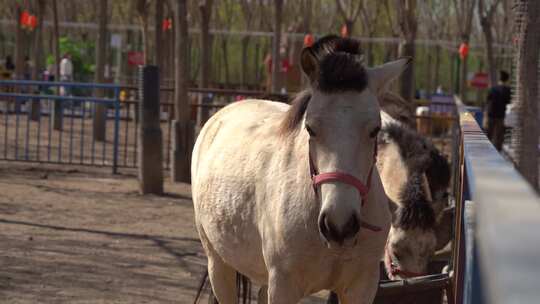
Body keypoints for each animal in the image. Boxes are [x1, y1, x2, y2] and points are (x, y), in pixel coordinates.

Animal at [192, 36, 408, 304]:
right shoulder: (284, 287)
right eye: (310, 128)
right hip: (219, 264)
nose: (339, 226)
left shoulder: (362, 287)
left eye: (374, 129)